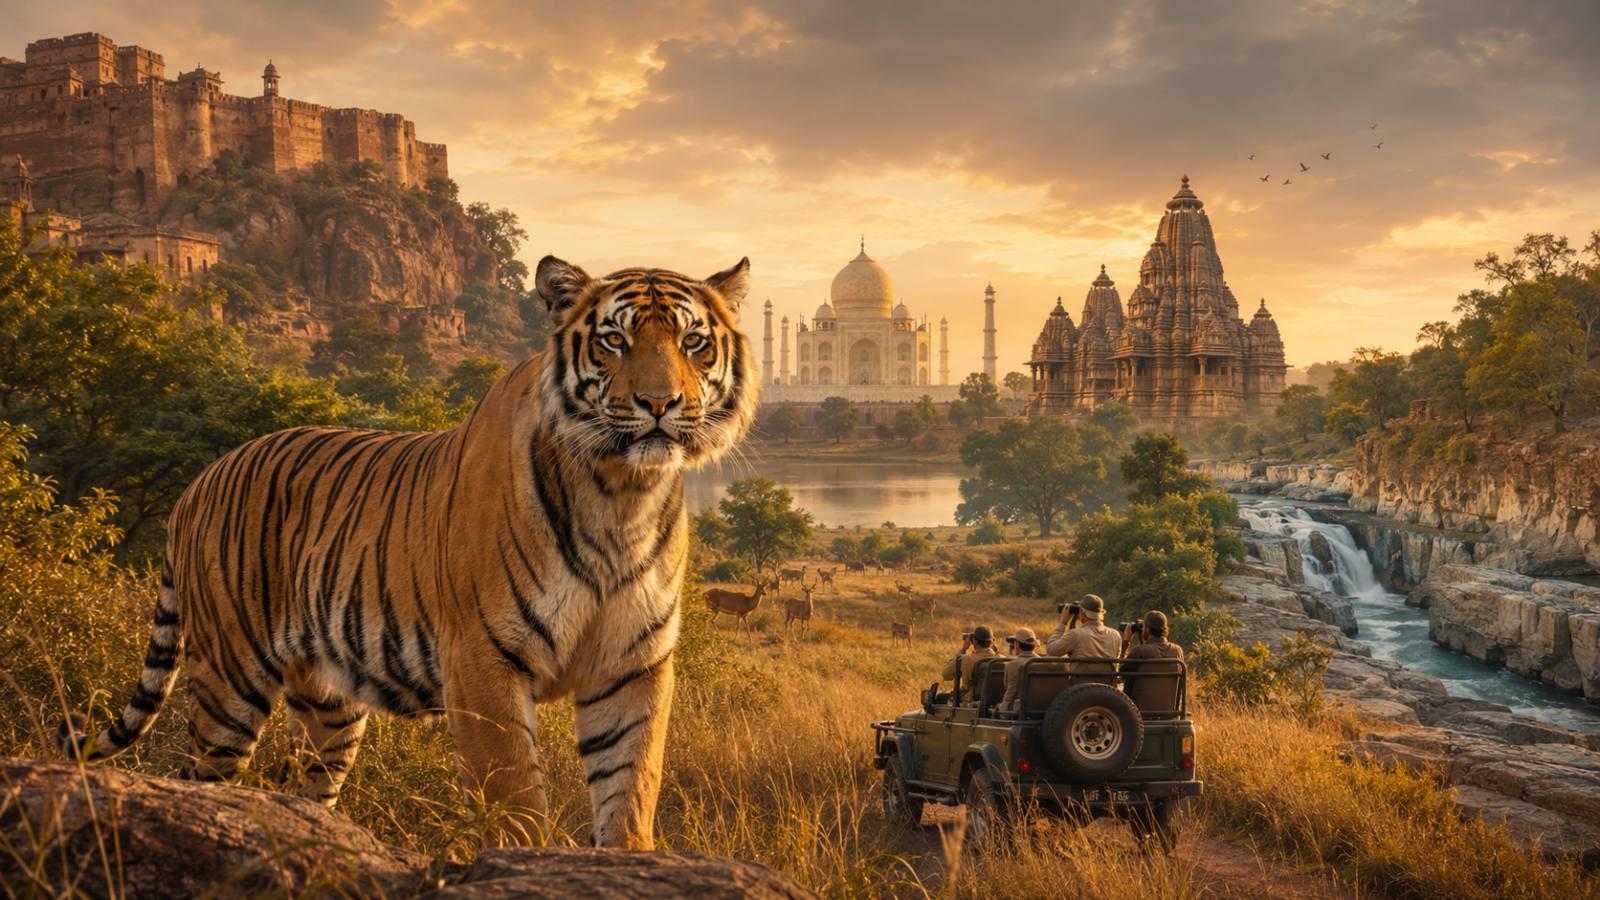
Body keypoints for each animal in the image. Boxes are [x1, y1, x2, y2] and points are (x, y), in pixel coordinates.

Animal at [58, 254, 758, 850]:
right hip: (228, 679)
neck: (621, 495)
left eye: (693, 343)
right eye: (615, 341)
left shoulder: (633, 664)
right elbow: (515, 800)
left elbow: (630, 791)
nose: (660, 404)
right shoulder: (482, 660)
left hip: (329, 707)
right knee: (196, 777)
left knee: (301, 787)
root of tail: (196, 483)